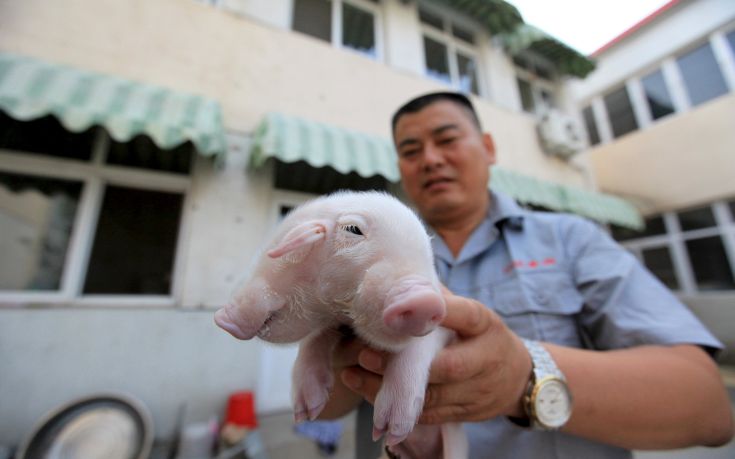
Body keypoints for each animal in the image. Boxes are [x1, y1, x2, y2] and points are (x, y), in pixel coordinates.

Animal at [214, 191, 468, 458]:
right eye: (353, 229)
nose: (222, 318)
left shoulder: (448, 323)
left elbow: (419, 344)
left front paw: (389, 428)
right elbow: (315, 339)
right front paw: (306, 411)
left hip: (457, 443)